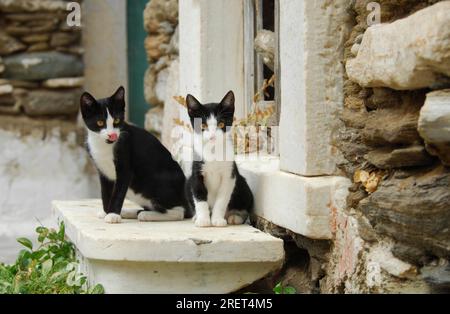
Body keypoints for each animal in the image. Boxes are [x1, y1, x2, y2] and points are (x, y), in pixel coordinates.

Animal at [79, 86, 190, 223]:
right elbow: (105, 193)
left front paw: (112, 214)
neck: (104, 145)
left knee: (180, 212)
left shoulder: (125, 166)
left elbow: (118, 193)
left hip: (154, 182)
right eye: (100, 122)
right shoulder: (102, 171)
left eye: (117, 120)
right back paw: (131, 212)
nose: (112, 135)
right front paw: (106, 212)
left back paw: (147, 215)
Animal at [184, 89, 253, 227]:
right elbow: (199, 196)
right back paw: (197, 216)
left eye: (221, 124)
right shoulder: (196, 173)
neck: (213, 151)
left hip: (243, 185)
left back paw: (235, 216)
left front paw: (217, 220)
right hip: (188, 182)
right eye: (203, 126)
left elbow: (222, 198)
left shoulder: (229, 175)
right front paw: (203, 220)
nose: (212, 137)